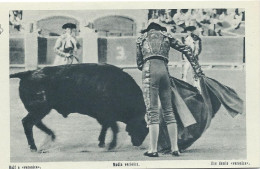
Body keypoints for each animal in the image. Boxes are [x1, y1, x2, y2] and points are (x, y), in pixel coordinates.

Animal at [8, 63, 244, 152]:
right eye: (143, 128)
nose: (138, 143)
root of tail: (27, 72)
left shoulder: (103, 116)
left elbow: (106, 127)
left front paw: (102, 143)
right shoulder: (107, 114)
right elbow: (114, 127)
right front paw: (111, 145)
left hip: (40, 108)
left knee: (32, 123)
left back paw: (47, 138)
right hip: (40, 107)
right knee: (28, 123)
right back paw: (37, 144)